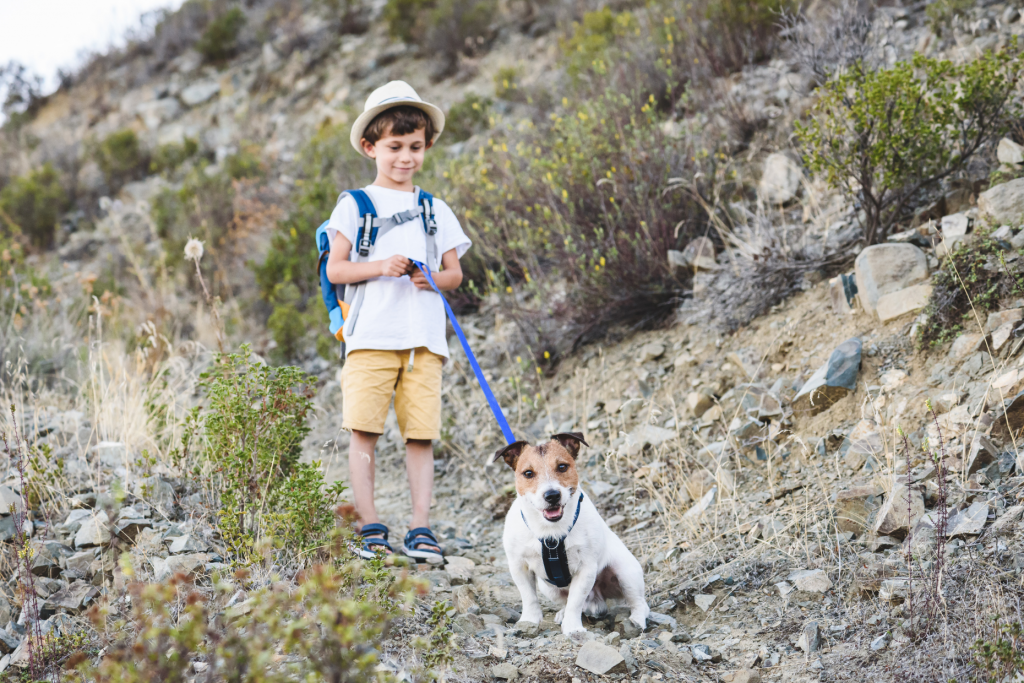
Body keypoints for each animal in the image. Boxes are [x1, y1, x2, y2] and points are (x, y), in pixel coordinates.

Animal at [493, 432, 647, 634]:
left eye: (562, 467)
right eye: (528, 473)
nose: (552, 495)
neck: (551, 532)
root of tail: (597, 598)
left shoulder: (586, 569)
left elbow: (575, 601)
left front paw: (573, 628)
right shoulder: (519, 566)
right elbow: (529, 597)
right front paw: (529, 621)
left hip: (626, 573)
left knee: (638, 602)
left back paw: (637, 620)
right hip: (548, 587)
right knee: (567, 601)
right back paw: (562, 613)